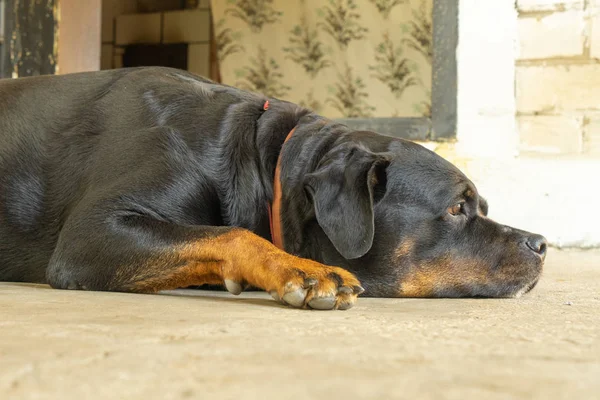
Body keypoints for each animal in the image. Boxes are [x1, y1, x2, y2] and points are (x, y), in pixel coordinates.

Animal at [0, 67, 548, 310]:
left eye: (482, 206)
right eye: (457, 208)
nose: (542, 243)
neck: (263, 166)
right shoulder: (93, 234)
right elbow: (233, 234)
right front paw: (301, 270)